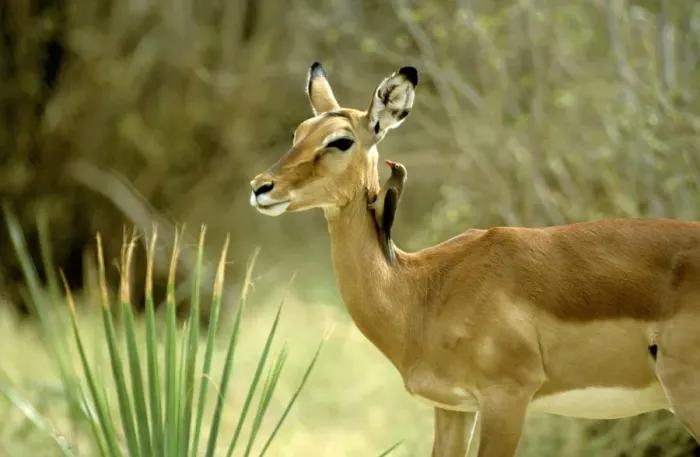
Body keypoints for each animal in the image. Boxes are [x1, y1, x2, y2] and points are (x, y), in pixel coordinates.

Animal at [248, 62, 700, 456]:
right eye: (300, 132)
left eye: (341, 140)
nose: (260, 187)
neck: (424, 292)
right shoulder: (452, 407)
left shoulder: (506, 398)